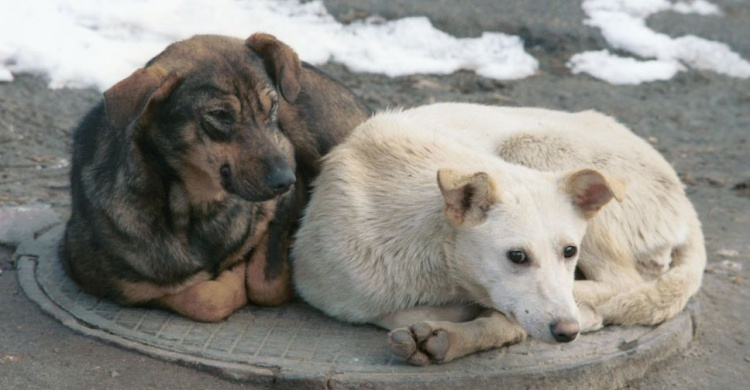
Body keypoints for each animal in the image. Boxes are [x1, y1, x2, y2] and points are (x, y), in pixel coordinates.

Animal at [61, 32, 370, 320]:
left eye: (271, 106)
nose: (285, 180)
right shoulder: (109, 279)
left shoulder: (285, 175)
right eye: (220, 115)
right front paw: (231, 276)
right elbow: (204, 299)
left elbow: (265, 283)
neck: (198, 208)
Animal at [292, 102, 704, 364]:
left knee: (624, 281)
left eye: (569, 251)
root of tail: (687, 202)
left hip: (533, 145)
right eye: (517, 256)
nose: (567, 331)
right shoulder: (328, 291)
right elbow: (396, 312)